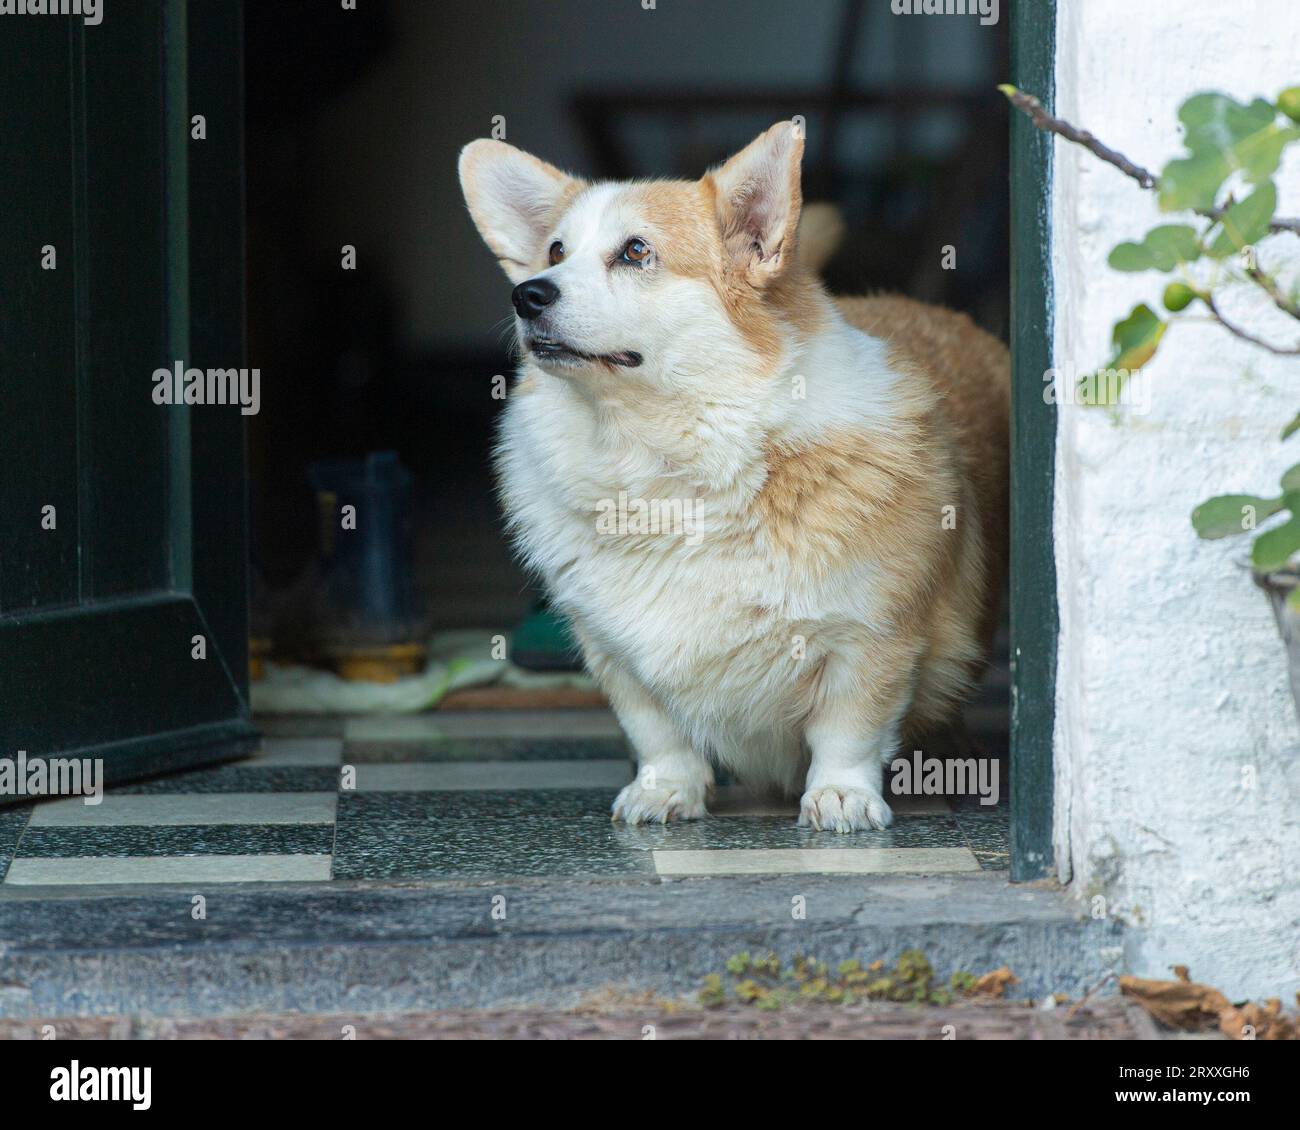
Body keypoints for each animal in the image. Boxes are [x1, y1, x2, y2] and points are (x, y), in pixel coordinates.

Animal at [462, 120, 1008, 827]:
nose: (526, 294)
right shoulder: (614, 653)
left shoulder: (871, 636)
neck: (664, 470)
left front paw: (841, 797)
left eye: (635, 251)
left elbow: (849, 727)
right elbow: (655, 729)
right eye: (554, 251)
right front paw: (666, 789)